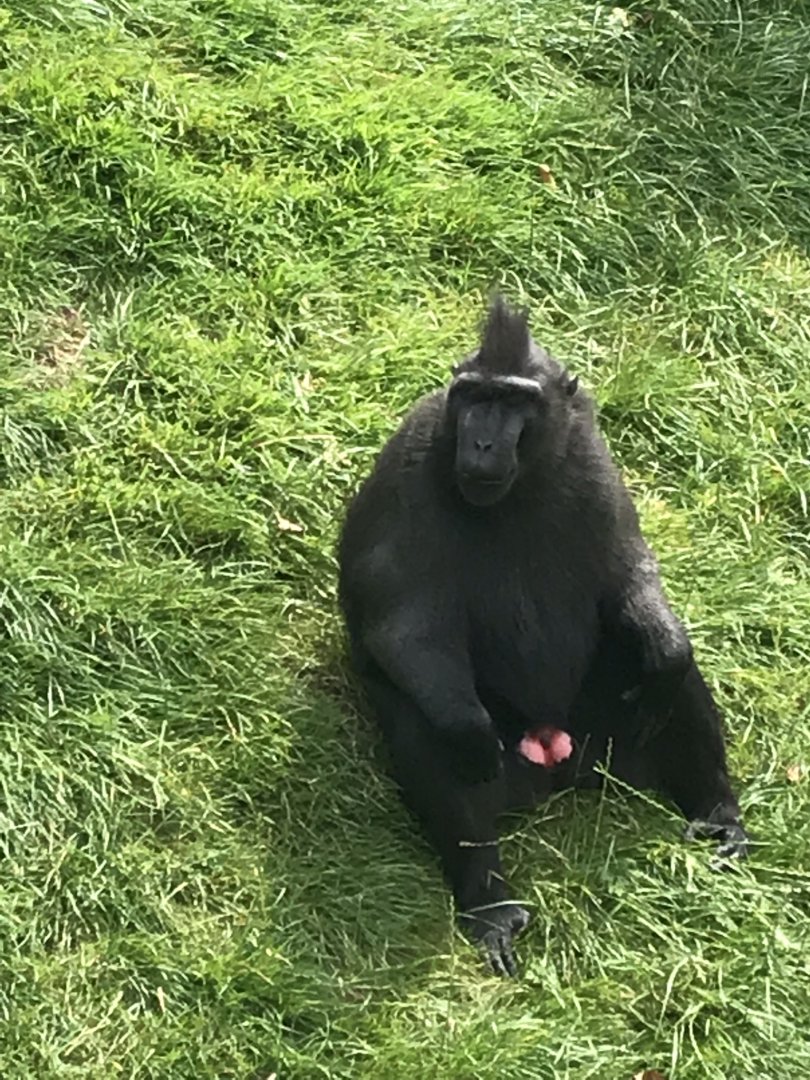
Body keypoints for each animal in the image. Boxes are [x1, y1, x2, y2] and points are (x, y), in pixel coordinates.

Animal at [337, 296, 748, 977]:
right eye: (476, 397)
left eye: (515, 402)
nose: (481, 440)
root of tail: (559, 767)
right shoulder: (410, 457)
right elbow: (401, 619)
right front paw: (466, 727)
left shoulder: (590, 454)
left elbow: (628, 573)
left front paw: (665, 649)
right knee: (432, 733)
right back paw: (489, 900)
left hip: (606, 732)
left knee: (669, 678)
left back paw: (717, 814)